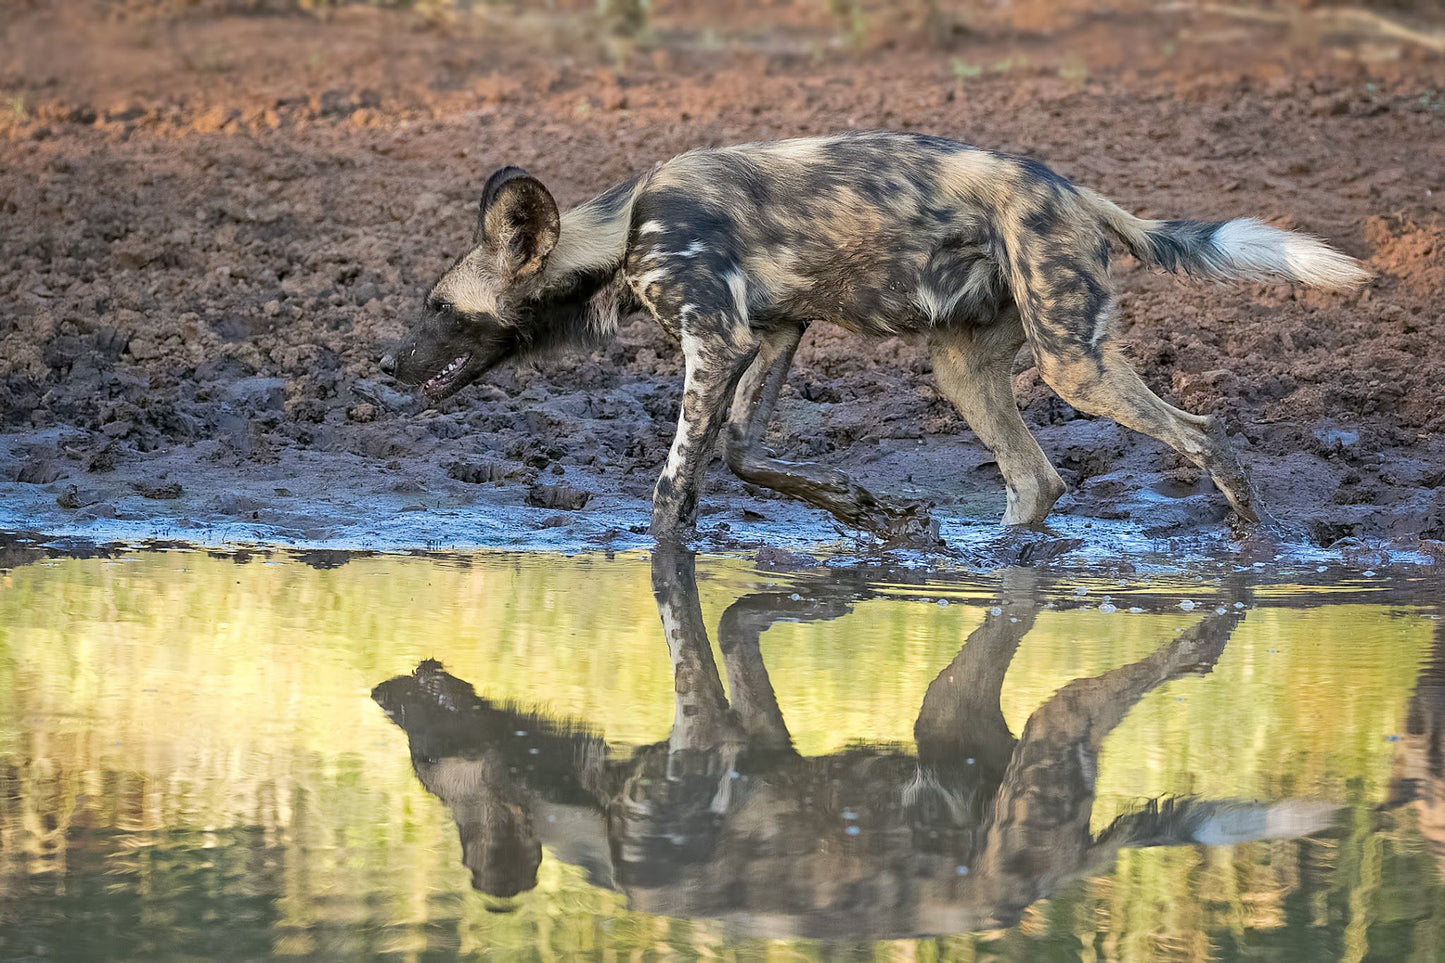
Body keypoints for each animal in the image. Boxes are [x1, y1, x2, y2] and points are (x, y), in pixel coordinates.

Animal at [381, 129, 1364, 540]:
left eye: (436, 307)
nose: (385, 363)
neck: (619, 234)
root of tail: (1075, 190)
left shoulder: (720, 346)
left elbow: (670, 488)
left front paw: (660, 559)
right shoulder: (772, 333)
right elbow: (741, 454)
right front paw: (862, 508)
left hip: (1071, 363)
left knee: (1201, 434)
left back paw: (1250, 548)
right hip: (963, 369)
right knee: (1037, 480)